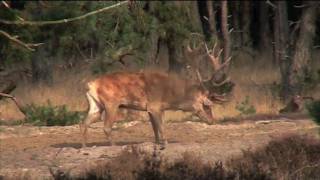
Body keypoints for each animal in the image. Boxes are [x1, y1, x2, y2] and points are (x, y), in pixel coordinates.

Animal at [80, 42, 234, 149]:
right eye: (207, 105)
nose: (212, 121)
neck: (170, 95)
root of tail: (90, 84)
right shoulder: (154, 105)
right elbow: (161, 126)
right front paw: (164, 142)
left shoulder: (155, 108)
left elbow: (155, 128)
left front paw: (157, 142)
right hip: (111, 103)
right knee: (106, 127)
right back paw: (113, 146)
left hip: (96, 105)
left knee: (84, 123)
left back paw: (84, 146)